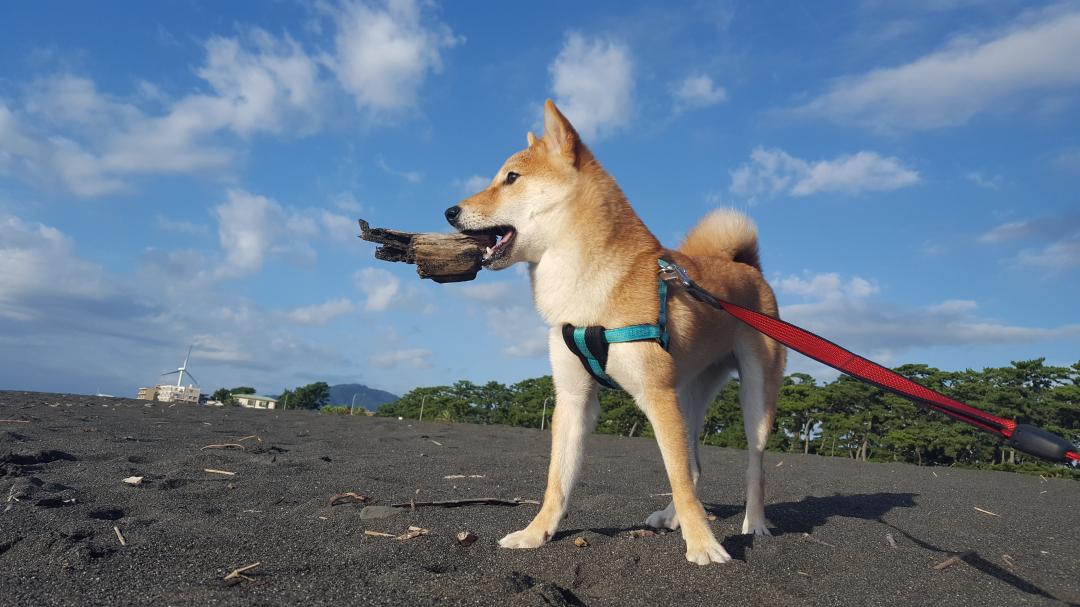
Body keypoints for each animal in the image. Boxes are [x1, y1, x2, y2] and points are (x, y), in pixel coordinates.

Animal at [442, 100, 790, 561]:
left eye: (511, 178)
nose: (449, 212)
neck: (586, 289)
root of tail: (748, 267)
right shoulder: (573, 397)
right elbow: (557, 481)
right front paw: (536, 533)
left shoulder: (656, 394)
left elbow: (678, 477)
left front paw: (702, 544)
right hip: (688, 393)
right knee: (695, 464)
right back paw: (671, 518)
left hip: (754, 397)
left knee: (753, 463)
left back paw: (755, 523)